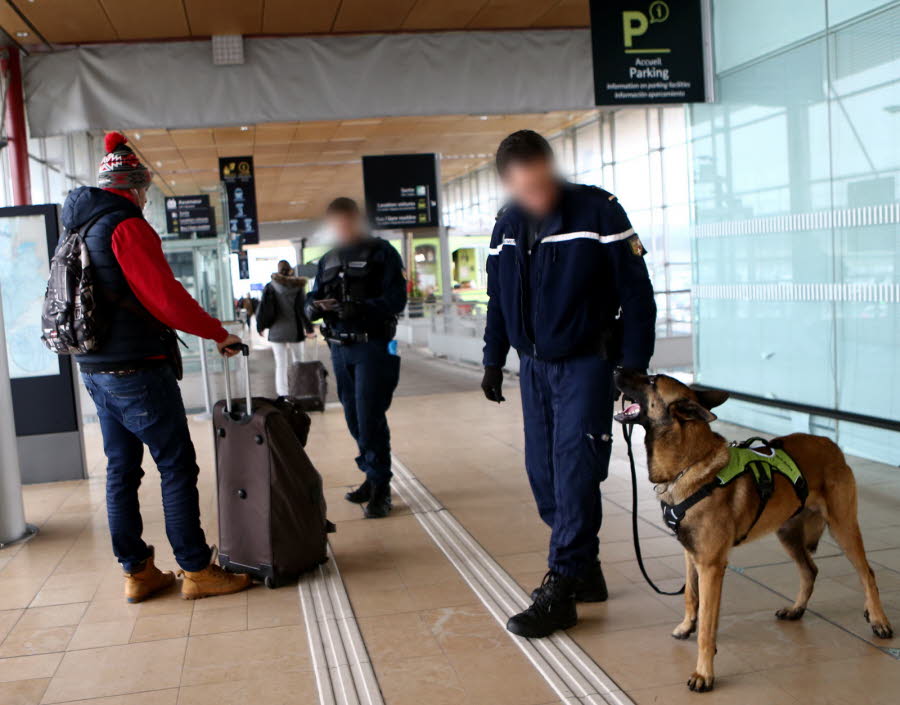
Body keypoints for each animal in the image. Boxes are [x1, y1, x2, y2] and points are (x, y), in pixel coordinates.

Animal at [612, 368, 892, 692]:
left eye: (652, 380)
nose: (615, 369)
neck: (689, 465)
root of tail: (829, 443)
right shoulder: (691, 555)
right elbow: (692, 597)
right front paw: (687, 626)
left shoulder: (710, 566)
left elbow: (707, 625)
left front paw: (704, 672)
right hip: (787, 534)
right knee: (810, 570)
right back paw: (796, 609)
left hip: (843, 527)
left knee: (867, 573)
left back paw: (878, 618)